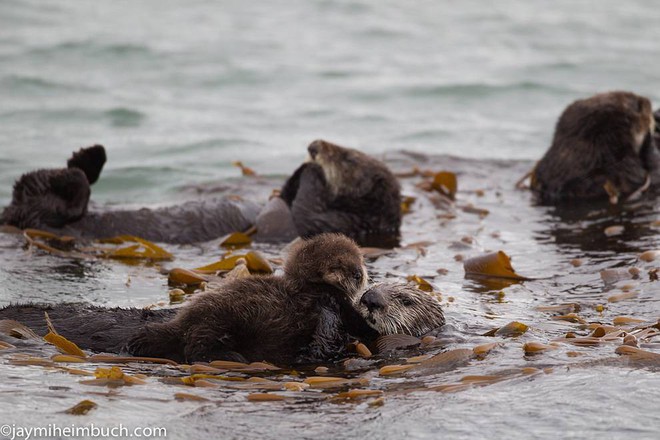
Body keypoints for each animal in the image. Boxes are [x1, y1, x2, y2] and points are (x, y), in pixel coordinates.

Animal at [258, 139, 402, 246]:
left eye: (348, 159)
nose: (313, 147)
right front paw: (302, 167)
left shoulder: (349, 224)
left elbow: (308, 220)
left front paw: (312, 168)